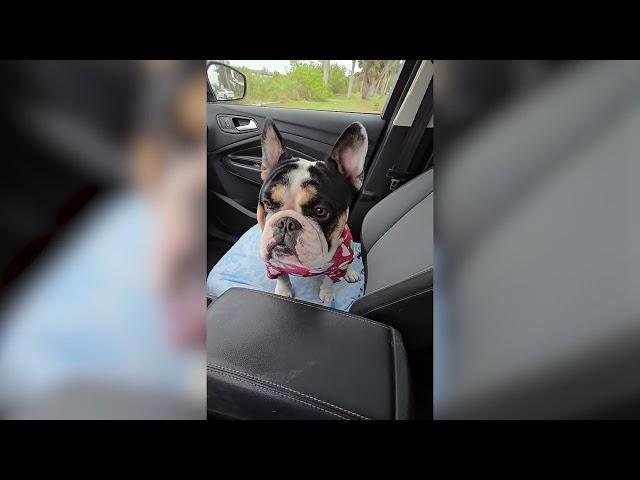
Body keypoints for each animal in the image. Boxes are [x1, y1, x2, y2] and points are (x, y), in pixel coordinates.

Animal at [258, 118, 368, 302]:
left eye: (320, 211)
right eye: (267, 203)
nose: (286, 223)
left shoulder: (336, 267)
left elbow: (330, 280)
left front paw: (326, 294)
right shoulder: (273, 264)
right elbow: (282, 276)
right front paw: (284, 291)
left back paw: (351, 272)